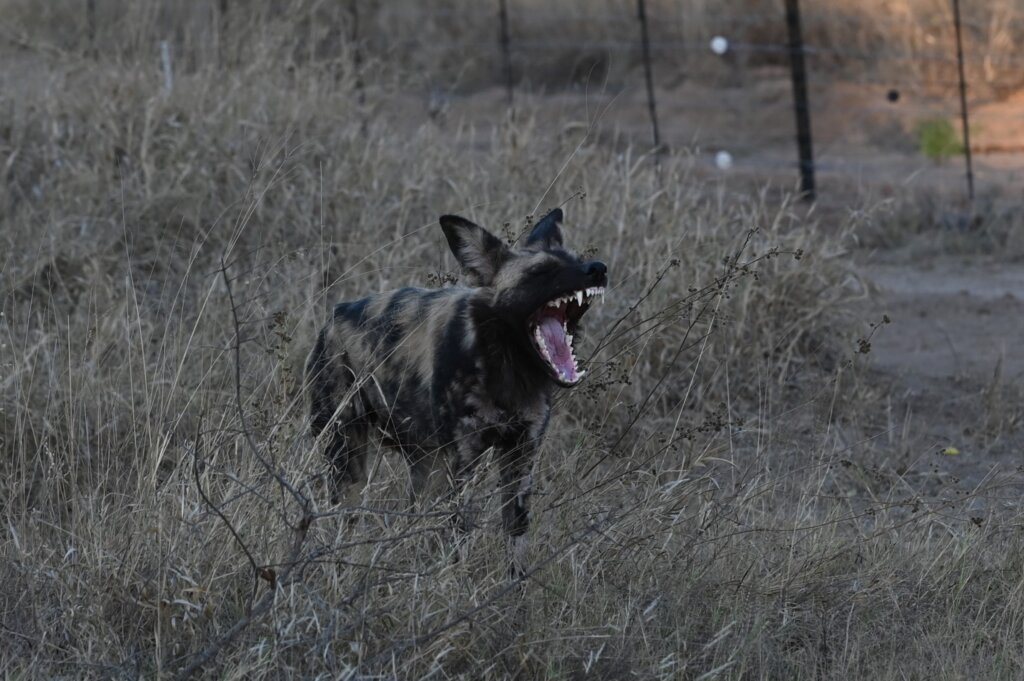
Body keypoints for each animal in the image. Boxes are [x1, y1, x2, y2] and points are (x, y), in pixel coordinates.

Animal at [303, 209, 606, 557]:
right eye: (541, 271)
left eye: (576, 259)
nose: (598, 268)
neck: (505, 370)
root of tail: (332, 318)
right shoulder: (461, 458)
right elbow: (457, 531)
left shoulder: (521, 454)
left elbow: (515, 538)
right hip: (348, 458)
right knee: (347, 513)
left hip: (423, 462)